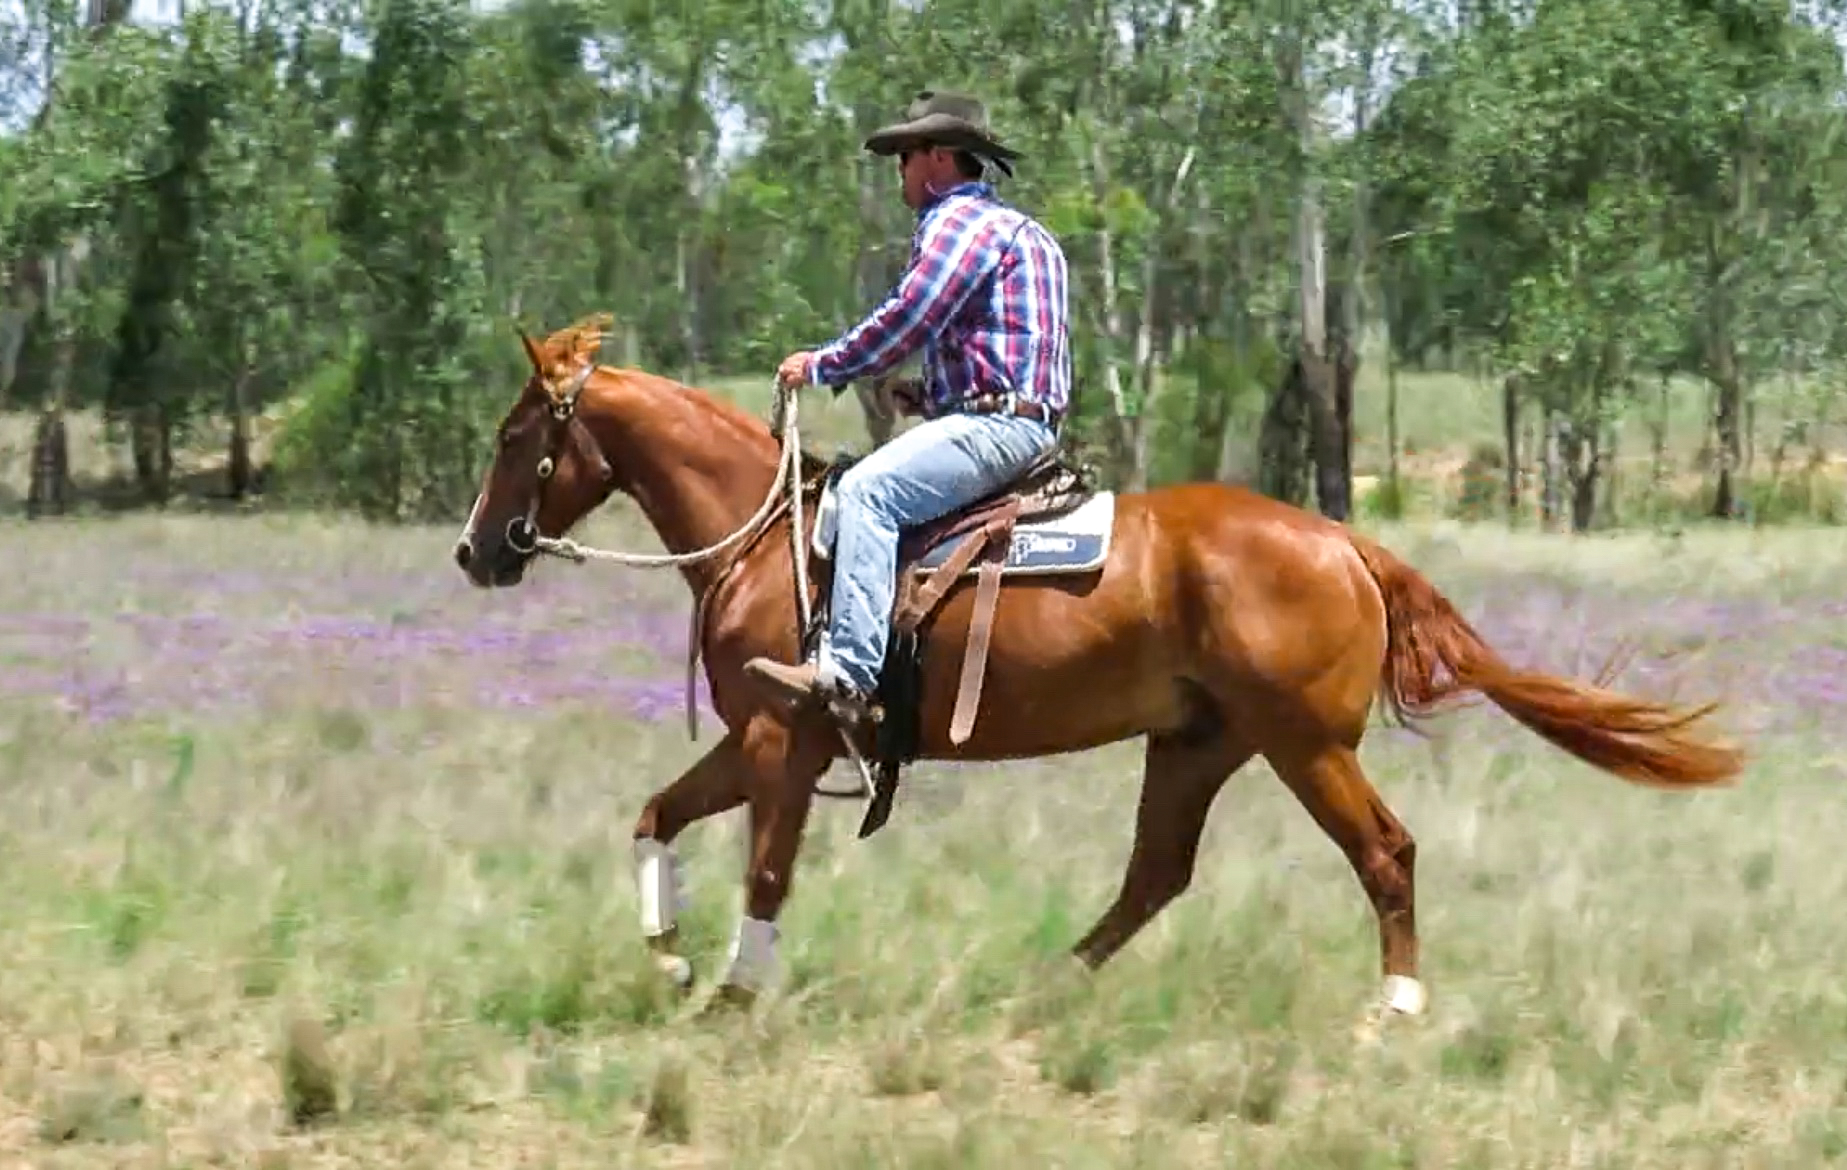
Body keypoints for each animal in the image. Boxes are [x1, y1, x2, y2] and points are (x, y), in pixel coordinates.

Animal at [452, 314, 1744, 1026]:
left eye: (515, 436)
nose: (475, 552)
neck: (775, 538)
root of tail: (1344, 544)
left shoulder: (788, 736)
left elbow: (766, 872)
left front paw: (731, 992)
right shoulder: (757, 740)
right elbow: (656, 814)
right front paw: (671, 957)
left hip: (1303, 746)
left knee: (1382, 853)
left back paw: (1393, 1005)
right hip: (1196, 743)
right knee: (1153, 876)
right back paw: (1043, 982)